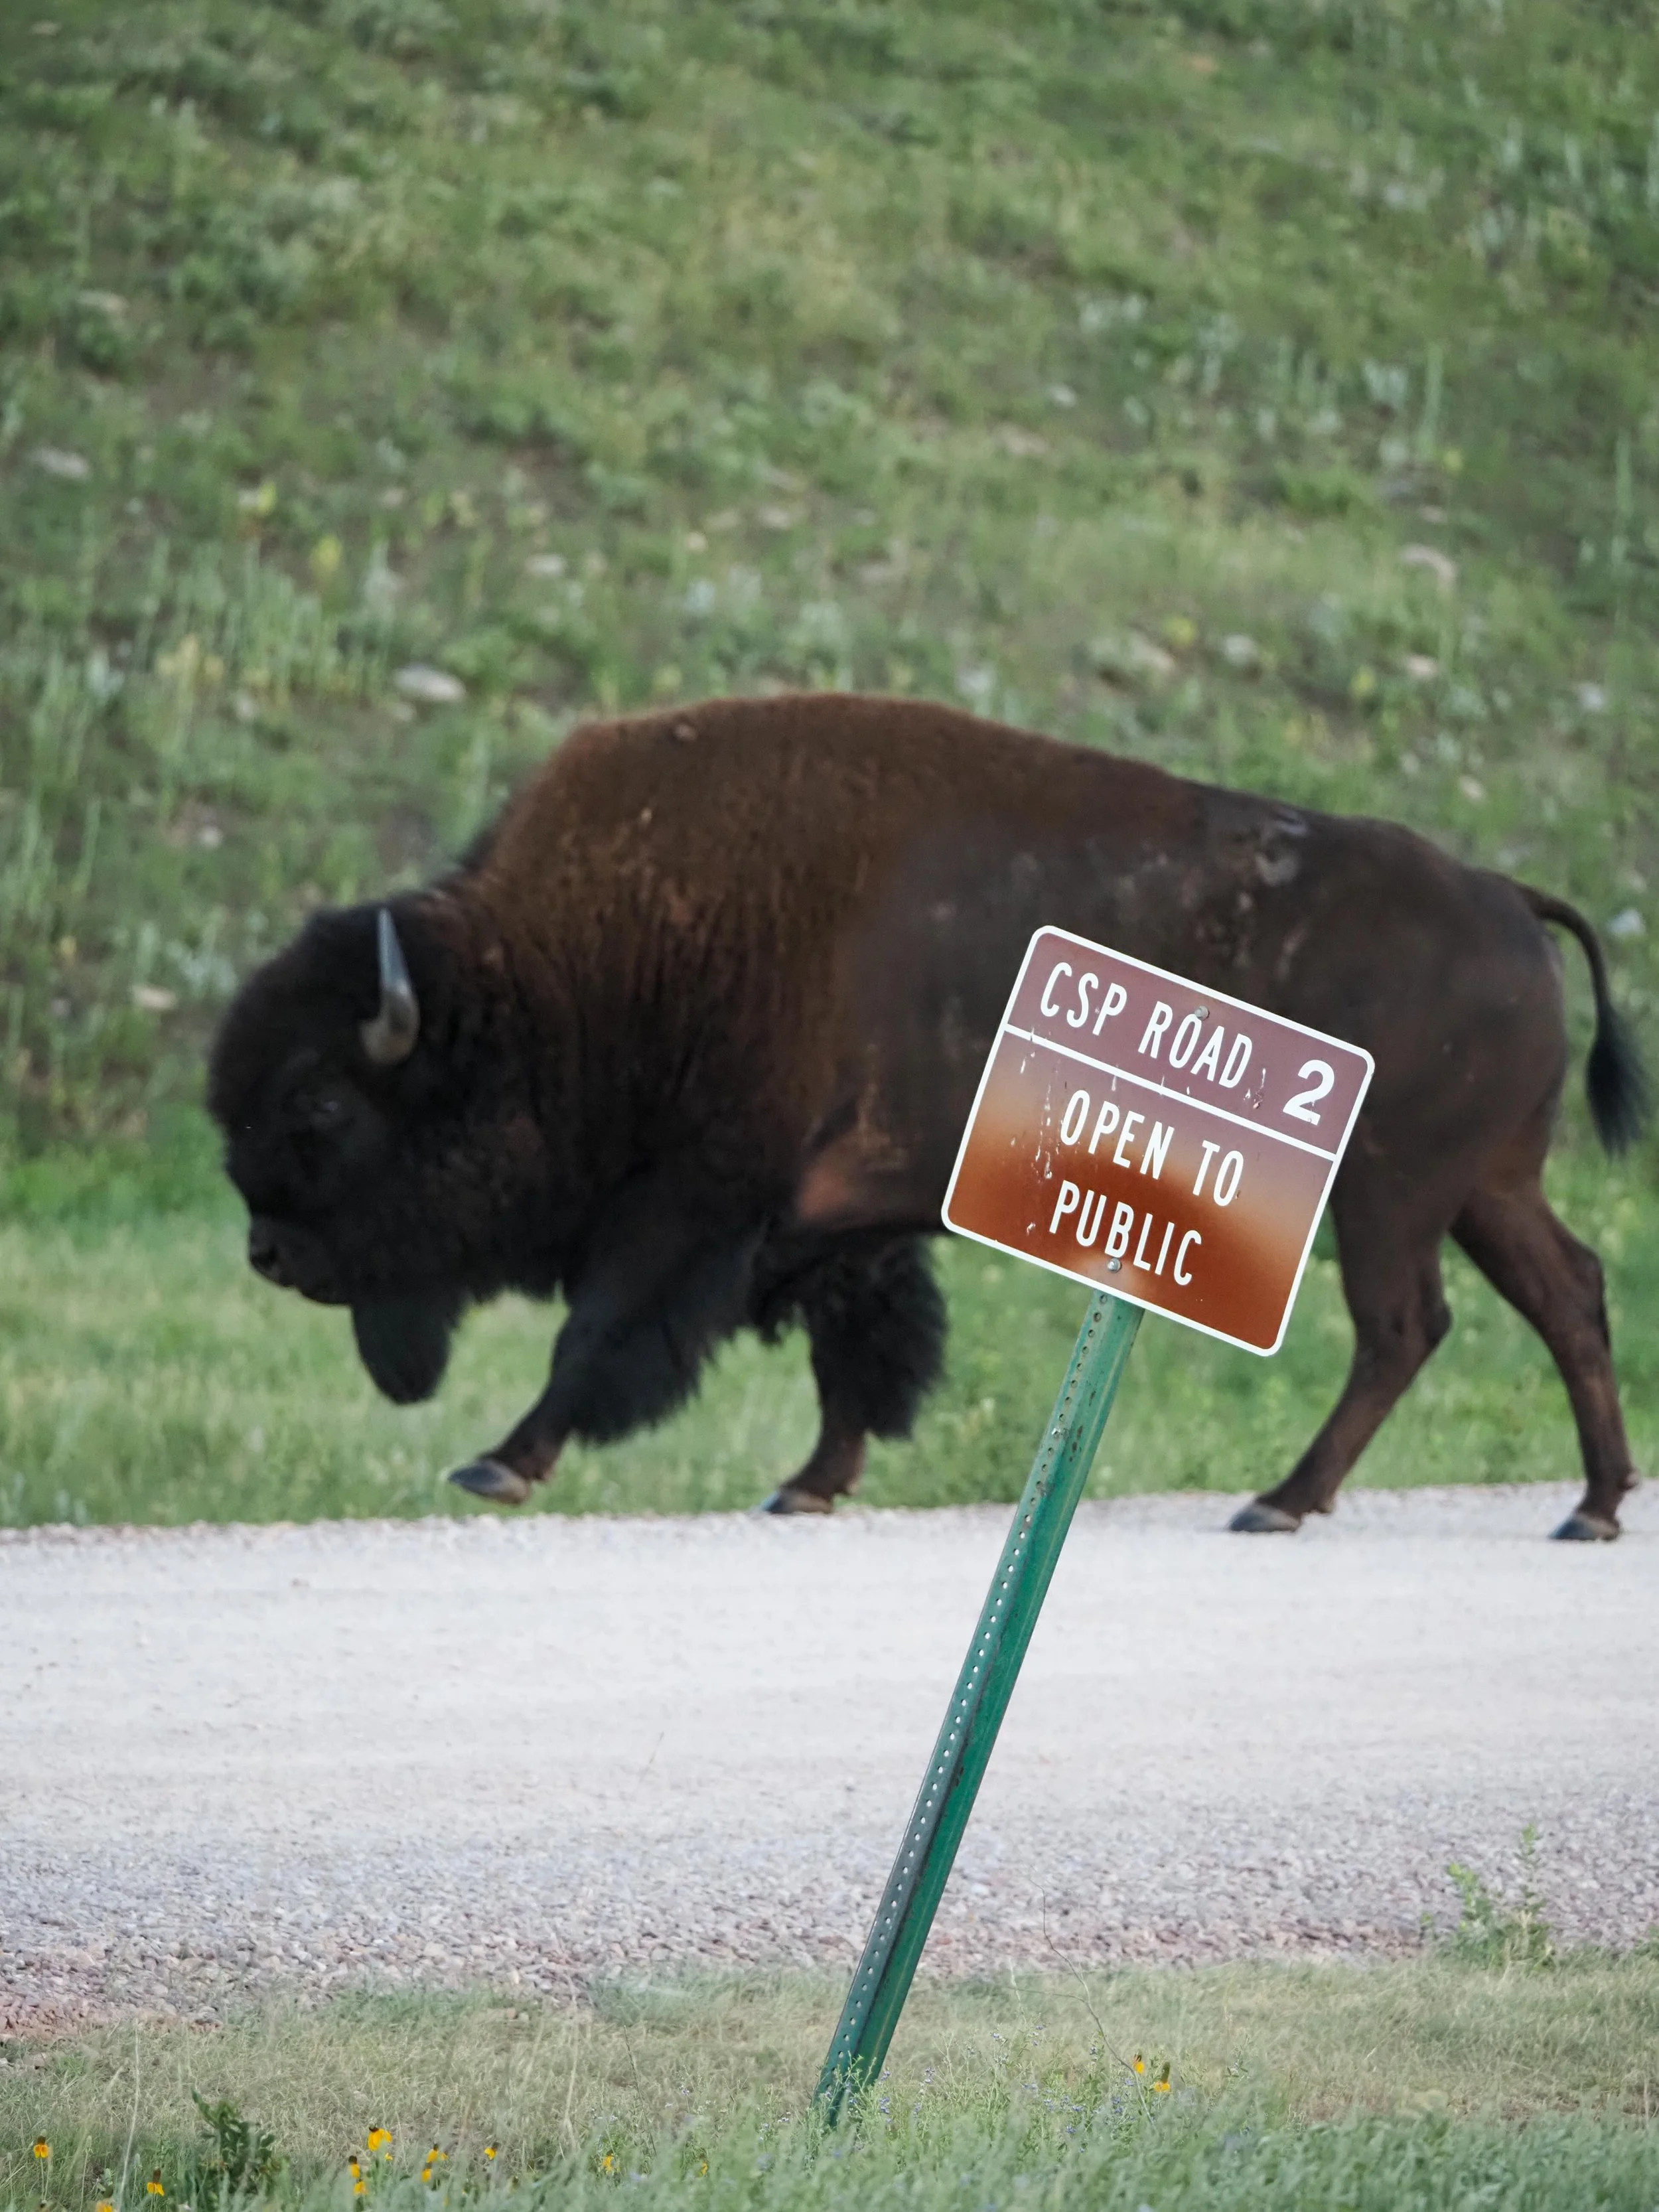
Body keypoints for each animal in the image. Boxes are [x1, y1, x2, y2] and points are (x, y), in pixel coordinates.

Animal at [209, 693, 1645, 1538]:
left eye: (322, 1098)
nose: (265, 1252)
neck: (572, 974)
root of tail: (1505, 895)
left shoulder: (696, 1202)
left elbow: (598, 1337)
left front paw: (500, 1462)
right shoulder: (836, 1221)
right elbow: (856, 1352)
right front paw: (805, 1485)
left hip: (1389, 1194)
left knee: (1404, 1327)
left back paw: (1283, 1502)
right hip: (1481, 1189)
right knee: (1564, 1293)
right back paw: (1589, 1504)